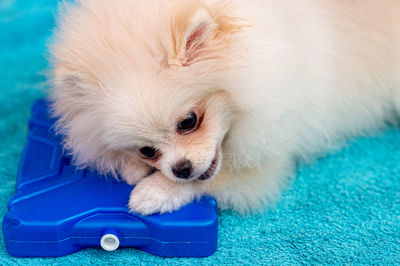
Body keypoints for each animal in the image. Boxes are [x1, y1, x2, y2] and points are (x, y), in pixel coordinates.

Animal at [50, 0, 400, 215]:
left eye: (188, 121)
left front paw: (154, 193)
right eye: (146, 150)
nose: (181, 168)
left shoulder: (267, 156)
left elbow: (213, 178)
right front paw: (133, 169)